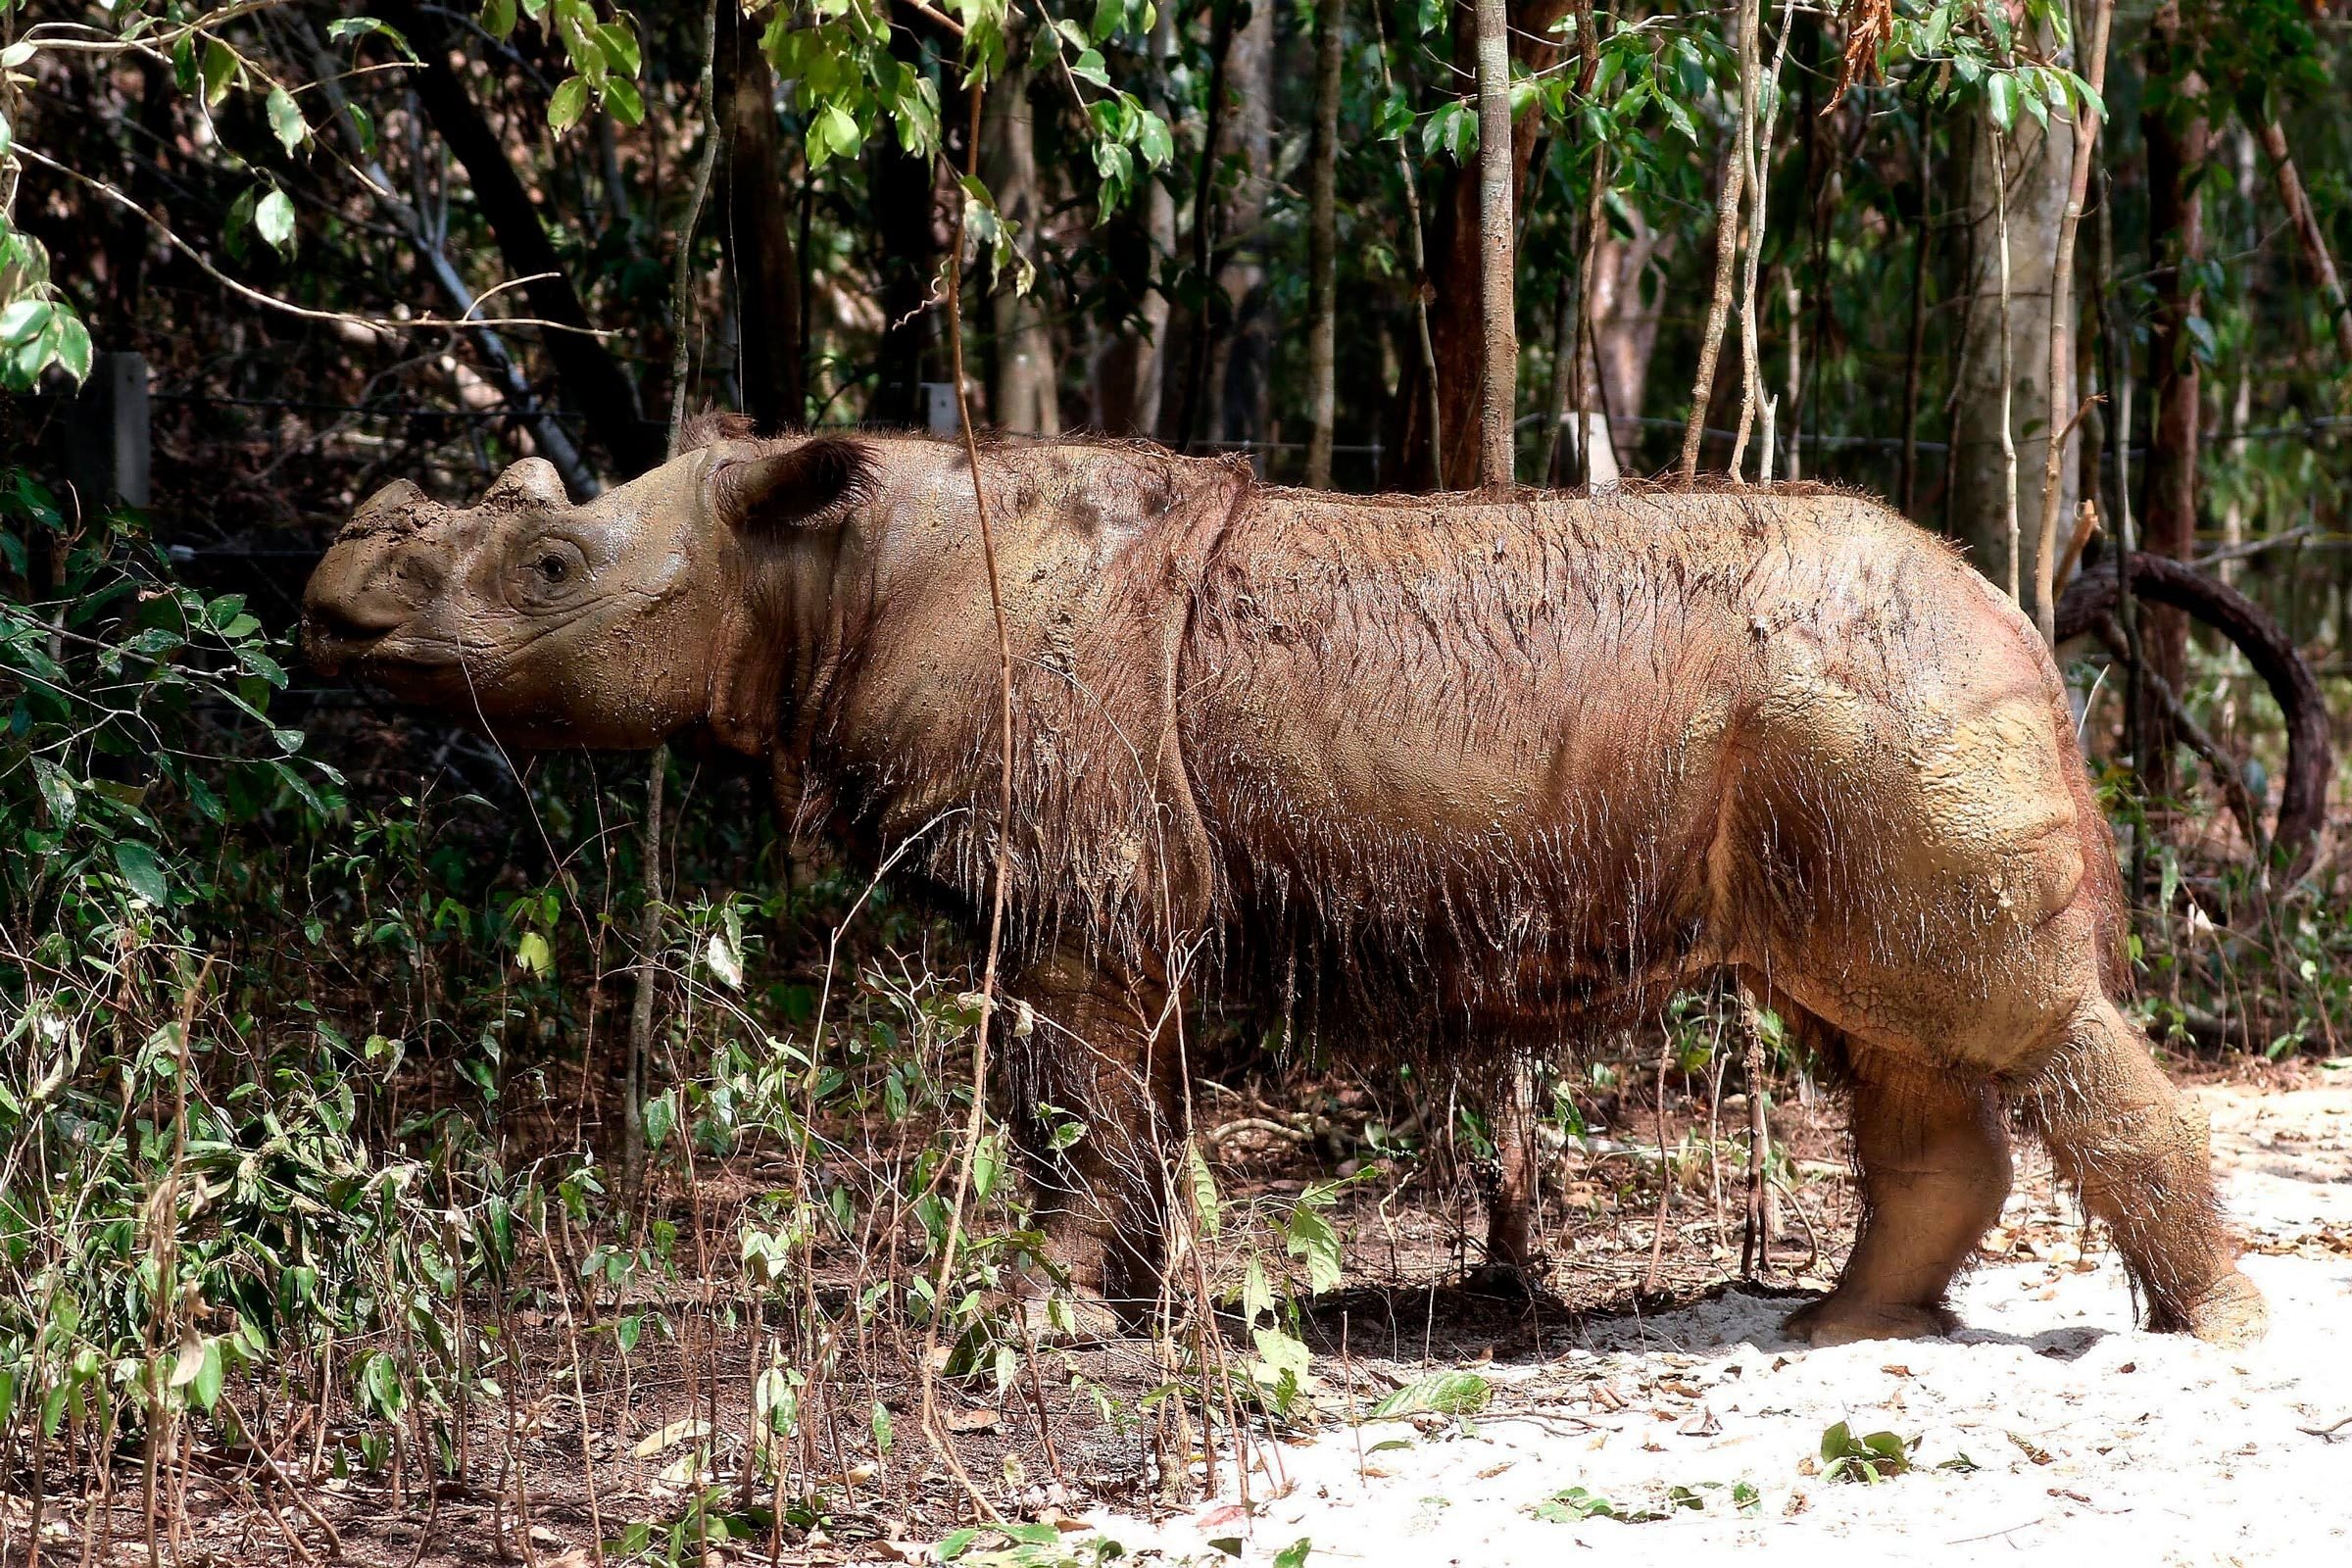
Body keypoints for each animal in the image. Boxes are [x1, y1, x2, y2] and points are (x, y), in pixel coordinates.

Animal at [303, 418, 2265, 1347]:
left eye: (550, 569)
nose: (330, 611)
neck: (827, 564)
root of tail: (2016, 612)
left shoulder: (1073, 891)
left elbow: (1071, 1104)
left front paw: (1030, 1312)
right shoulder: (1118, 895)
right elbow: (1132, 1104)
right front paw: (1146, 1306)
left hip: (1880, 699)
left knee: (1990, 1015)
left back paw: (2204, 1338)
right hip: (1848, 722)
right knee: (1882, 1033)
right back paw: (1832, 1333)